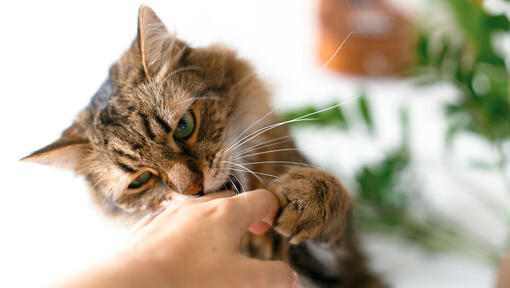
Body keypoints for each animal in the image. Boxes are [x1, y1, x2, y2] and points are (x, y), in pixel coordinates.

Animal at [21, 5, 384, 288]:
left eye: (184, 126)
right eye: (141, 180)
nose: (193, 189)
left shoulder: (340, 265)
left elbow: (335, 199)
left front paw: (306, 196)